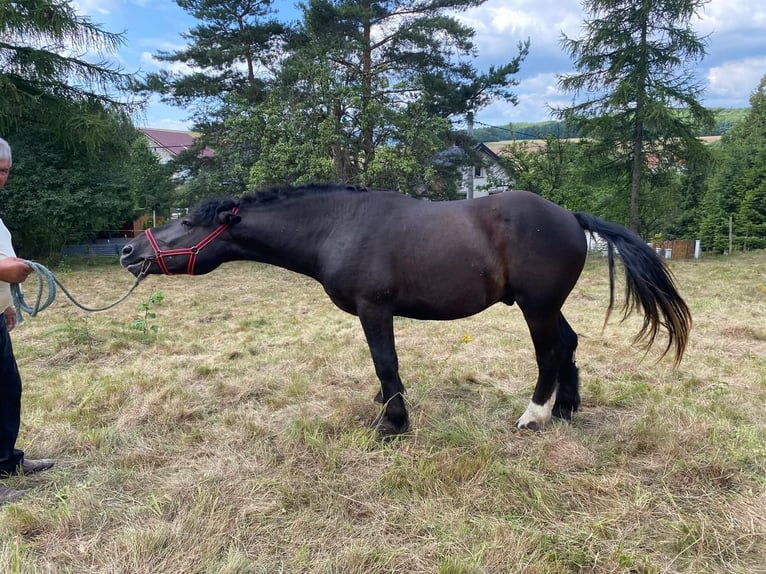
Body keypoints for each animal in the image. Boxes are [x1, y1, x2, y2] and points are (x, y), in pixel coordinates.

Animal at [118, 184, 688, 436]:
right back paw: (566, 409)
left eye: (189, 223)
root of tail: (569, 216)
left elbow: (385, 362)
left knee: (549, 352)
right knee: (568, 345)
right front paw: (385, 407)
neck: (337, 225)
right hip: (546, 305)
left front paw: (393, 421)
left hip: (537, 307)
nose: (129, 252)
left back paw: (535, 415)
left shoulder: (375, 309)